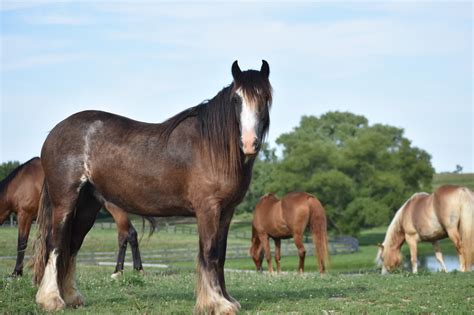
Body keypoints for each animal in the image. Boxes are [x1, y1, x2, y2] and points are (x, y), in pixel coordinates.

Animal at [0, 158, 144, 278]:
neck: (20, 182)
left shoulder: (25, 215)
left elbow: (22, 242)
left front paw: (17, 272)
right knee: (127, 235)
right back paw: (130, 270)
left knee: (126, 234)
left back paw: (123, 270)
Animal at [33, 60, 272, 314]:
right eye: (236, 99)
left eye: (265, 97)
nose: (249, 143)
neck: (212, 148)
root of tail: (54, 133)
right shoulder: (208, 209)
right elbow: (210, 252)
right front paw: (217, 303)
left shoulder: (226, 212)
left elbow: (221, 254)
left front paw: (226, 299)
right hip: (65, 200)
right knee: (55, 243)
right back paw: (51, 299)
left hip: (88, 204)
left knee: (72, 244)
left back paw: (71, 297)